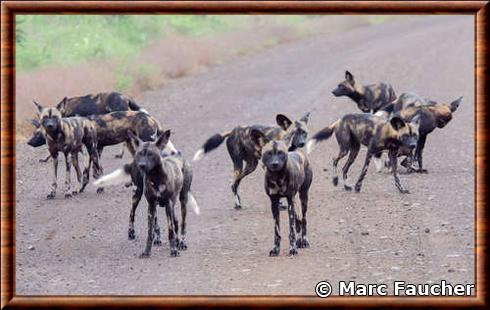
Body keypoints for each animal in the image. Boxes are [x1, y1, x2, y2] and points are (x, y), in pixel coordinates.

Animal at [93, 130, 198, 258]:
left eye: (151, 154)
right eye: (139, 154)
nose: (141, 165)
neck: (156, 177)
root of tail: (178, 155)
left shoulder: (168, 205)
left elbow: (170, 231)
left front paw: (173, 250)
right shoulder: (151, 205)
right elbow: (150, 232)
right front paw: (147, 251)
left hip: (182, 200)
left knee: (181, 223)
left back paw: (181, 242)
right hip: (137, 195)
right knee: (133, 213)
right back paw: (134, 233)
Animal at [251, 128, 312, 256]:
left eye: (280, 153)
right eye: (269, 153)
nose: (275, 164)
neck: (277, 178)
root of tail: (298, 153)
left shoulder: (289, 201)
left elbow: (291, 230)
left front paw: (292, 249)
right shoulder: (274, 203)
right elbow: (277, 231)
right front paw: (276, 249)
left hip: (303, 197)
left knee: (303, 220)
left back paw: (303, 240)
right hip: (294, 202)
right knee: (298, 220)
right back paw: (299, 240)